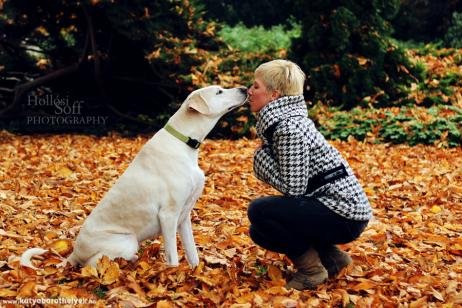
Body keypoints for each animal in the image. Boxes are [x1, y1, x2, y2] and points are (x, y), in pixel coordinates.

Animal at [20, 85, 249, 268]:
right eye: (219, 92)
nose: (245, 88)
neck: (184, 142)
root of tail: (73, 255)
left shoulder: (183, 217)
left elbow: (193, 253)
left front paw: (196, 273)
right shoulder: (168, 216)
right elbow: (173, 257)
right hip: (127, 242)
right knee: (93, 264)